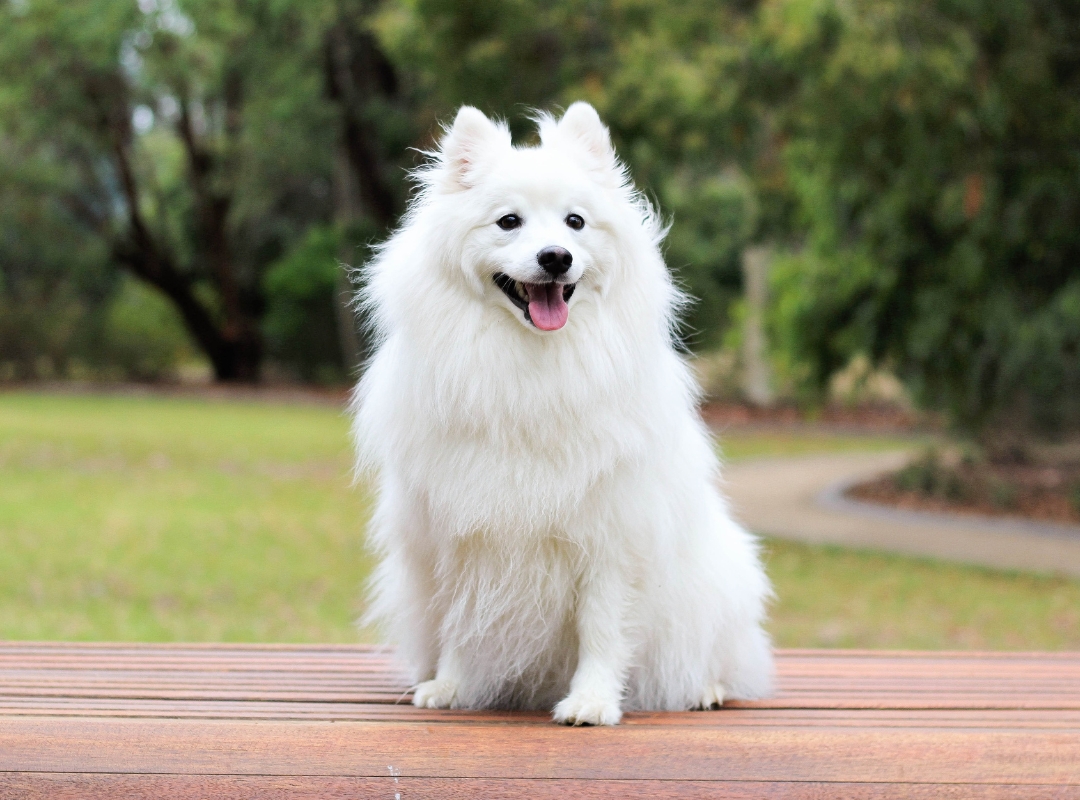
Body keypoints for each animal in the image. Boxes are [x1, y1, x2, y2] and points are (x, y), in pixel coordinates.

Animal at [349, 101, 773, 725]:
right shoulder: (457, 536)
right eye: (508, 222)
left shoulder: (610, 537)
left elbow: (602, 629)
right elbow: (461, 621)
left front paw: (592, 701)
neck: (533, 366)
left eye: (575, 222)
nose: (556, 257)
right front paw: (451, 685)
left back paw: (706, 688)